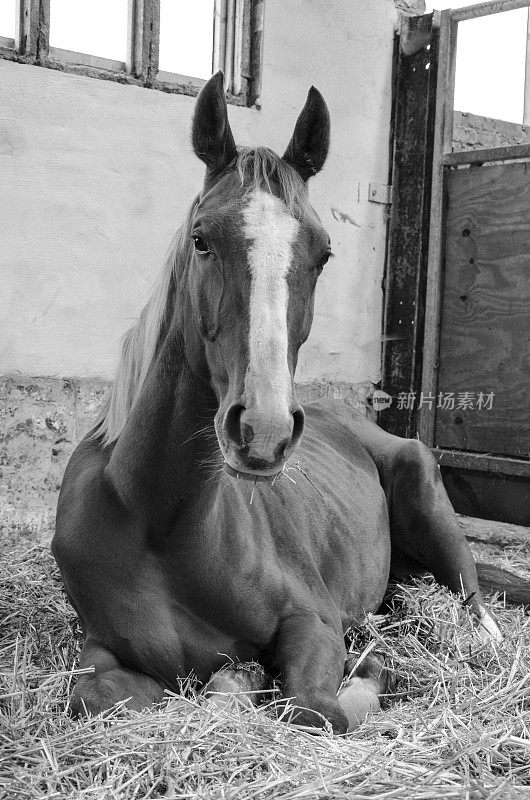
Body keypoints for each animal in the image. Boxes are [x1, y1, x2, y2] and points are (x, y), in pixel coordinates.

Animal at [51, 72, 524, 736]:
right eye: (201, 239)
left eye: (323, 253)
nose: (264, 430)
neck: (157, 522)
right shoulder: (96, 651)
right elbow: (96, 695)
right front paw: (240, 680)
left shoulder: (313, 621)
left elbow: (313, 707)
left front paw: (368, 672)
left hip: (430, 503)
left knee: (476, 614)